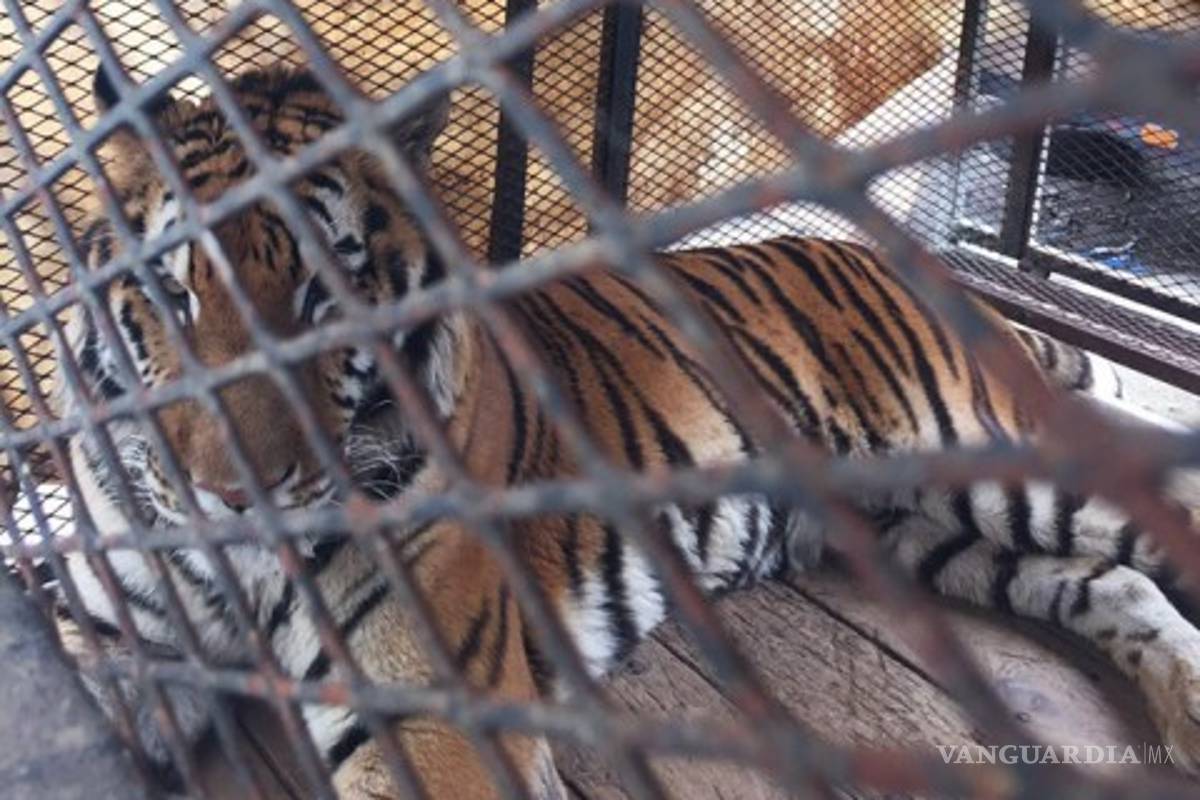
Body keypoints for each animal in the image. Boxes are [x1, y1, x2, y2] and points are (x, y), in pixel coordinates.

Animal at [45, 62, 1200, 799]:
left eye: (326, 297)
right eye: (171, 294)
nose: (230, 494)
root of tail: (894, 256)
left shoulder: (437, 711)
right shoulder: (105, 633)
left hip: (985, 457)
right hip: (929, 531)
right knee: (1110, 580)